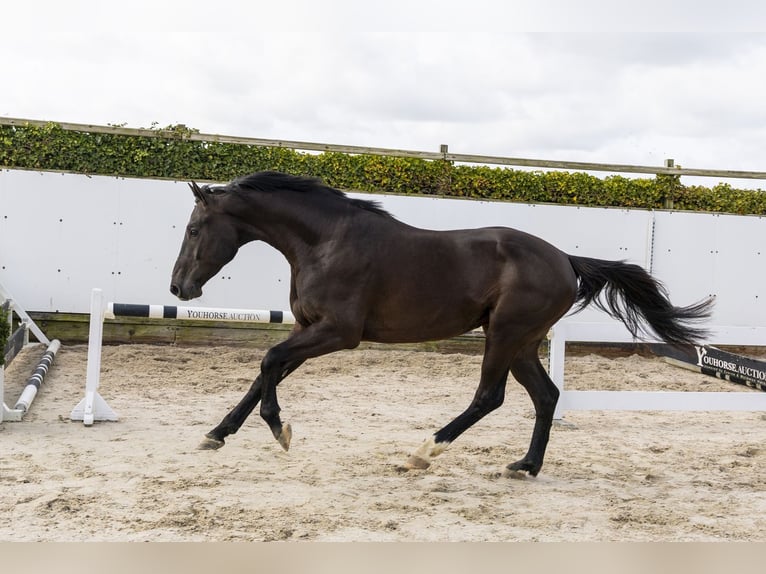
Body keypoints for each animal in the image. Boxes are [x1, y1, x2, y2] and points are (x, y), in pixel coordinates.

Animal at [170, 171, 713, 476]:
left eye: (194, 229)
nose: (179, 289)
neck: (324, 242)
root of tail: (566, 260)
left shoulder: (337, 333)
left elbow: (268, 361)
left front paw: (278, 429)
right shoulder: (308, 329)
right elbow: (266, 371)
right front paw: (216, 435)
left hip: (505, 335)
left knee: (490, 396)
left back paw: (423, 452)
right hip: (522, 342)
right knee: (546, 396)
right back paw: (525, 467)